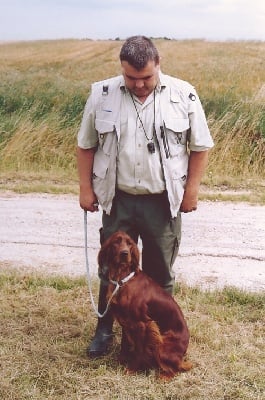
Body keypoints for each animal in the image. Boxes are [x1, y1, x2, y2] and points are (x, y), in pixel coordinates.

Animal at [98, 231, 191, 378]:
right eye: (116, 242)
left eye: (129, 243)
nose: (124, 253)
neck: (122, 278)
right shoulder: (126, 322)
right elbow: (125, 343)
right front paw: (121, 360)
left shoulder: (141, 324)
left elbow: (139, 350)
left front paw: (132, 369)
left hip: (162, 344)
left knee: (174, 370)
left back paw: (162, 377)